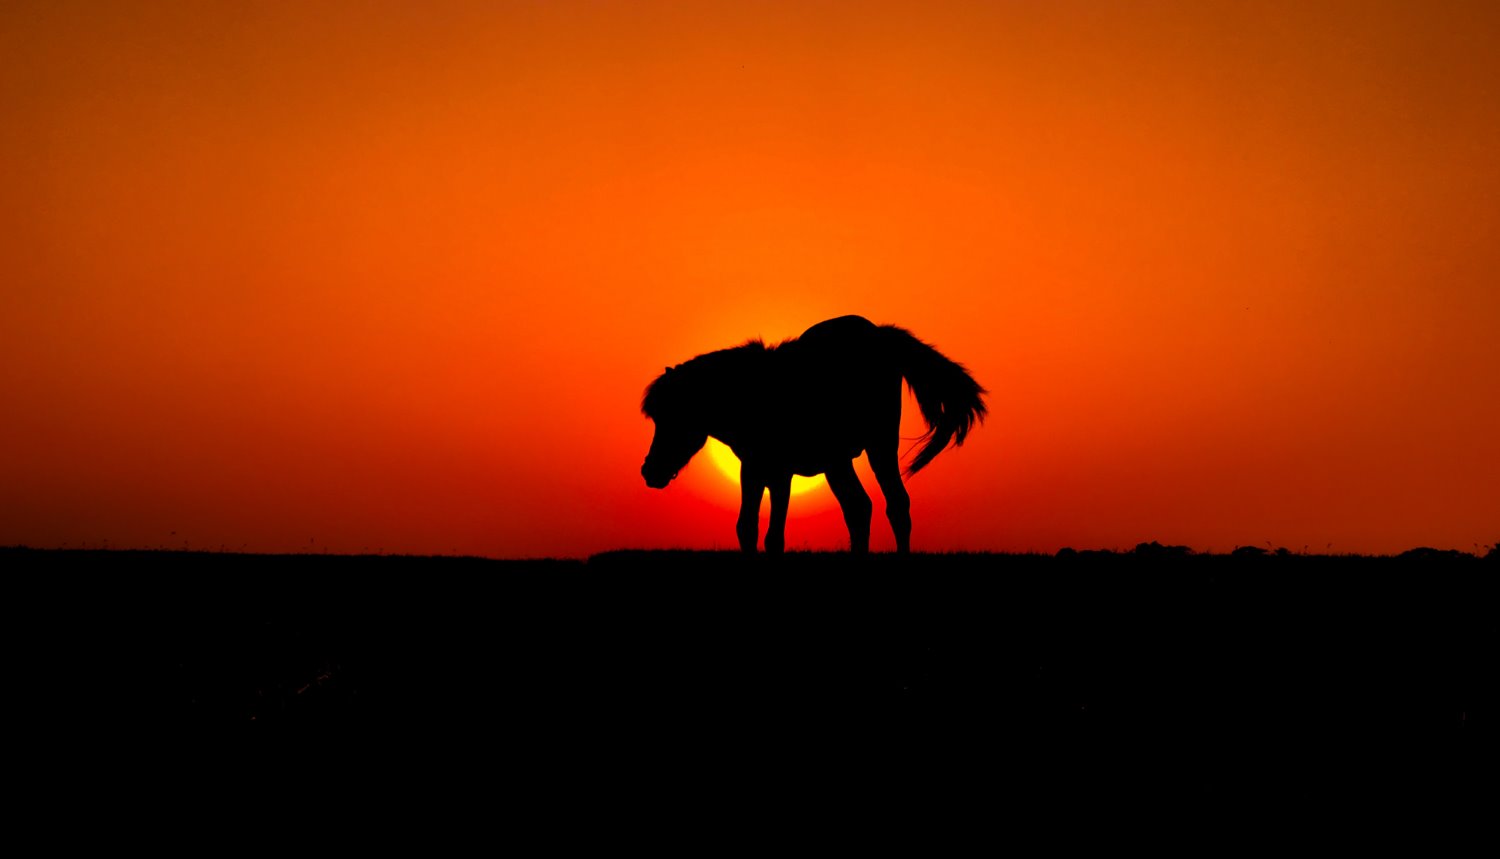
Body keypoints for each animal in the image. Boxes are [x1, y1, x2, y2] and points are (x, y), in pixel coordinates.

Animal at [641, 315, 987, 554]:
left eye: (673, 416)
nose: (650, 471)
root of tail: (879, 335)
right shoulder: (752, 471)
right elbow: (746, 528)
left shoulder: (780, 474)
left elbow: (773, 536)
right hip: (839, 463)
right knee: (863, 508)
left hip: (878, 447)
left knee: (891, 505)